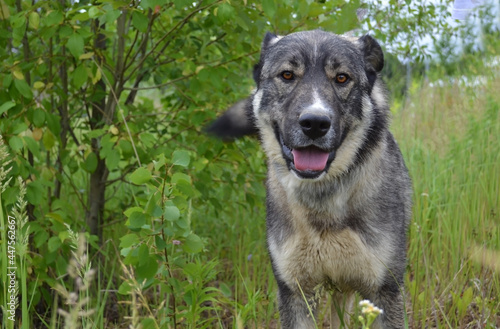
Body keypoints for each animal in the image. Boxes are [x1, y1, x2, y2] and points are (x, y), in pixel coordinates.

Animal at [207, 29, 410, 326]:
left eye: (341, 78)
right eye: (287, 75)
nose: (315, 123)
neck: (322, 200)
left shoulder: (385, 292)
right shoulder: (295, 292)